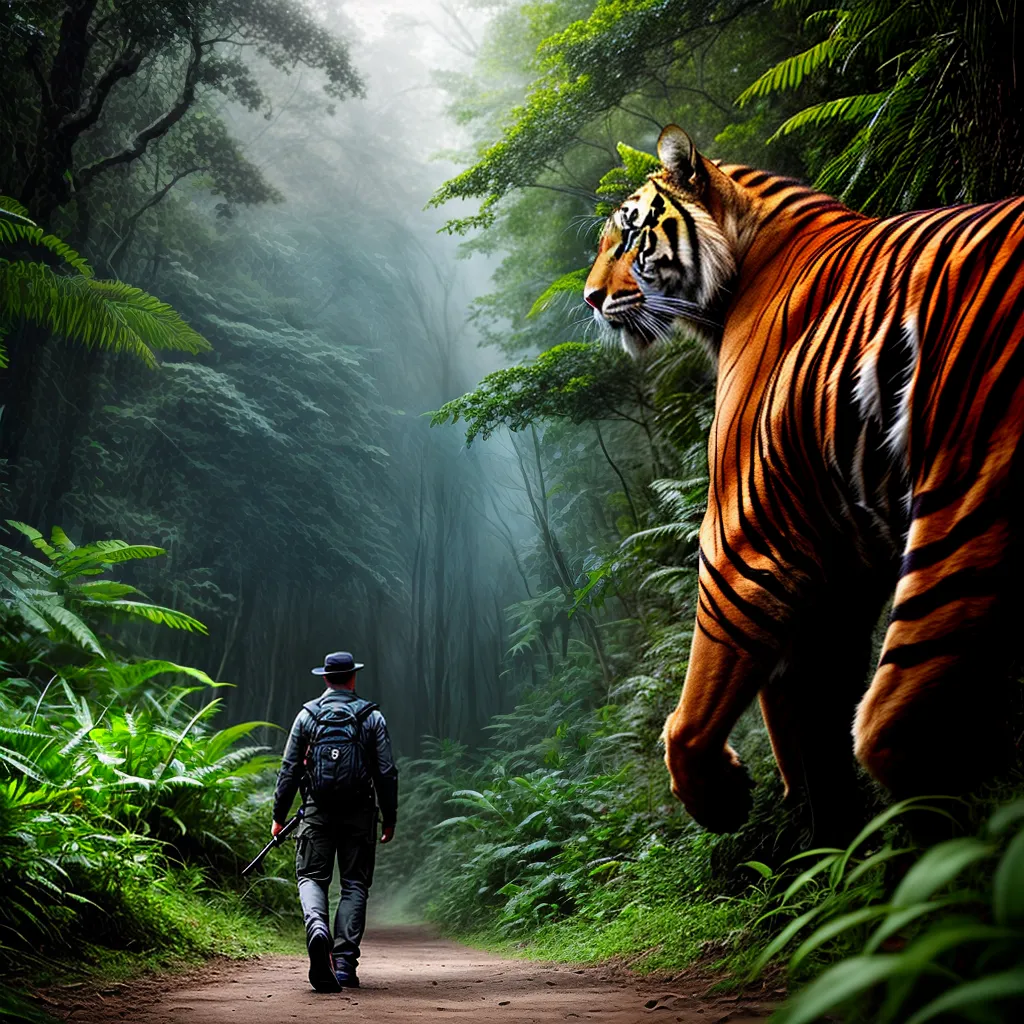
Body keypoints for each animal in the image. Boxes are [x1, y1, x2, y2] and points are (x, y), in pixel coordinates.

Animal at [585, 124, 1024, 836]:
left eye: (628, 238)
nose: (591, 300)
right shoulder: (840, 550)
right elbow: (802, 708)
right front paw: (821, 827)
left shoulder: (741, 535)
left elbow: (697, 706)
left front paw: (721, 795)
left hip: (967, 499)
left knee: (897, 730)